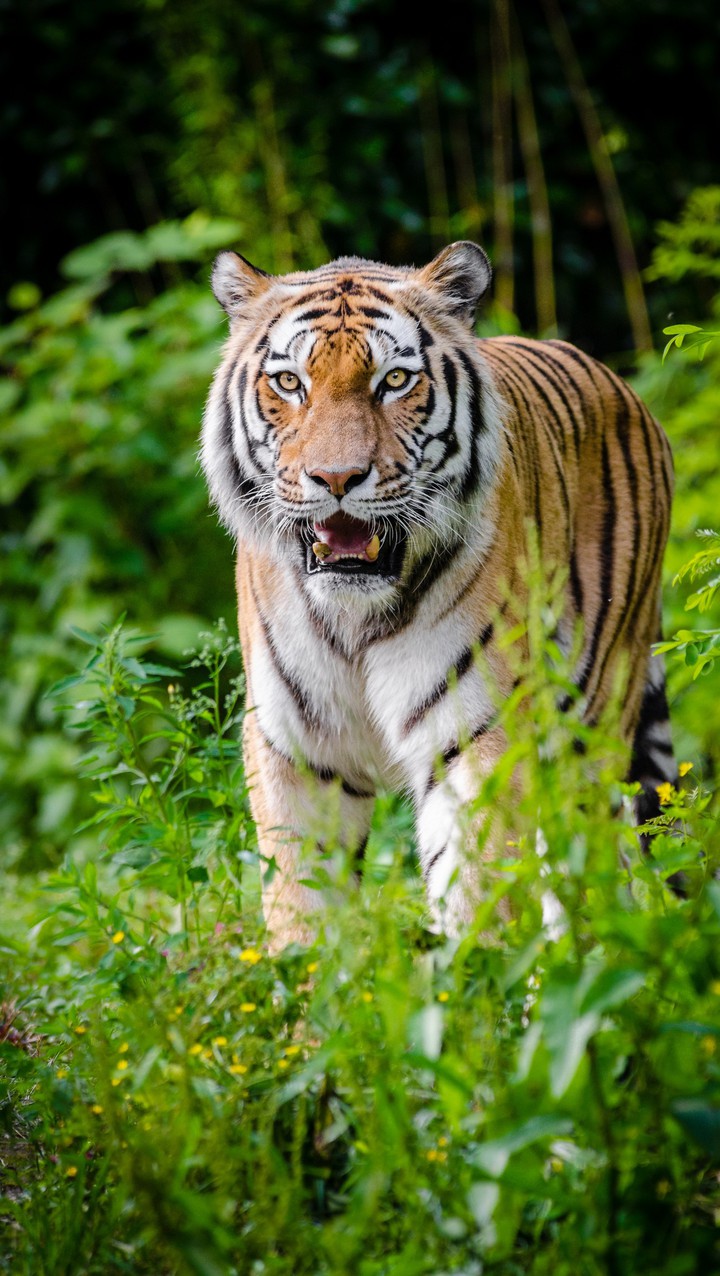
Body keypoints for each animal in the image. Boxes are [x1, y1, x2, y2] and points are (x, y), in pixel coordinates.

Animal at [201, 241, 676, 950]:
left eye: (395, 380)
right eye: (289, 384)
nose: (335, 478)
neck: (355, 617)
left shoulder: (473, 735)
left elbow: (477, 890)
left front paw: (475, 976)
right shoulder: (296, 748)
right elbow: (300, 908)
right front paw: (306, 980)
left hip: (592, 724)